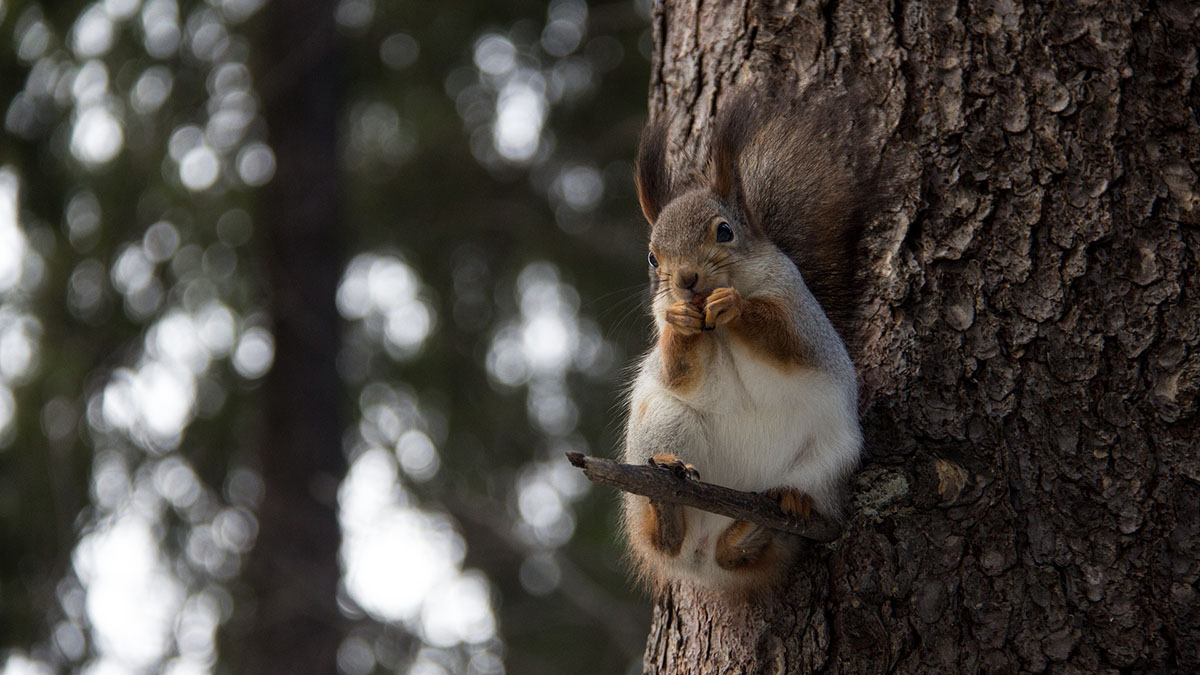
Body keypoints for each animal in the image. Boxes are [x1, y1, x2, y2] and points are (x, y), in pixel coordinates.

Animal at [619, 90, 873, 593]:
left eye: (724, 231)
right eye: (653, 257)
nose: (686, 279)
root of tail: (701, 559)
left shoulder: (800, 315)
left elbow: (785, 342)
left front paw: (732, 304)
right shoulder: (668, 345)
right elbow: (679, 374)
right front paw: (681, 321)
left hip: (829, 457)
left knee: (743, 544)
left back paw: (770, 517)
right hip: (662, 423)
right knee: (664, 538)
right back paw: (668, 503)